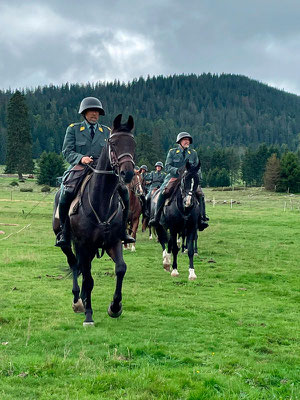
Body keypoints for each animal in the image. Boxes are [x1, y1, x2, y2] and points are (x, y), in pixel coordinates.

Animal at [52, 114, 135, 326]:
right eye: (113, 143)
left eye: (133, 143)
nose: (128, 173)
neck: (102, 201)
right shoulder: (84, 244)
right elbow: (88, 278)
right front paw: (88, 315)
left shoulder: (114, 241)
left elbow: (121, 269)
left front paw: (115, 307)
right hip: (68, 243)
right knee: (75, 265)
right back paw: (78, 301)